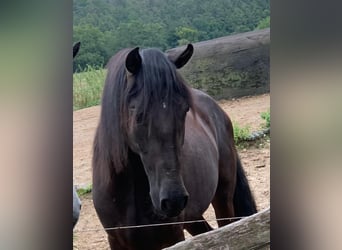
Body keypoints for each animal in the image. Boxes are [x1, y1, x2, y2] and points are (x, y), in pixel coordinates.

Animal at [92, 44, 255, 249]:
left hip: (223, 197)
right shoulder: (116, 241)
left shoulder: (174, 236)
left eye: (184, 110)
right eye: (139, 115)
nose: (173, 199)